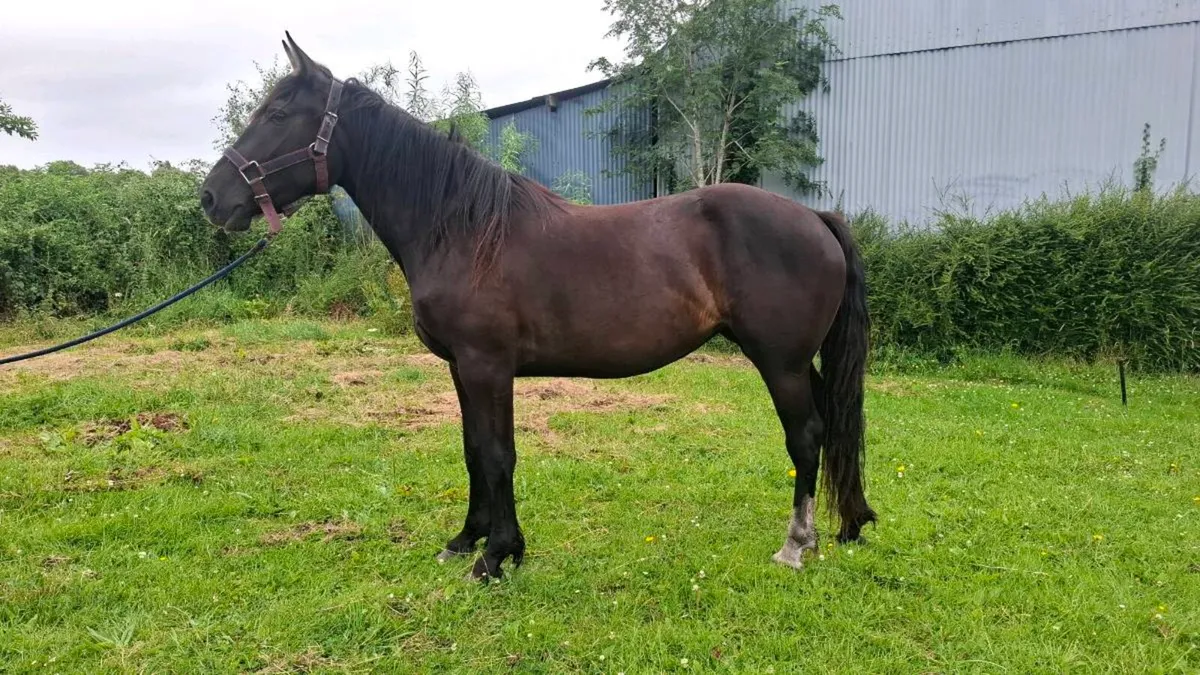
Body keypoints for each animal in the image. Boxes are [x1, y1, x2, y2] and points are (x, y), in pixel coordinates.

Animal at [200, 33, 876, 581]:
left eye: (278, 112)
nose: (212, 198)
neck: (463, 229)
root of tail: (815, 218)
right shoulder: (462, 368)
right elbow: (474, 449)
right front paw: (466, 540)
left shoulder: (487, 365)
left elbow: (499, 453)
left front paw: (498, 555)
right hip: (800, 362)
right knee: (834, 425)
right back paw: (848, 524)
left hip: (780, 362)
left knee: (806, 436)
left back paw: (796, 545)